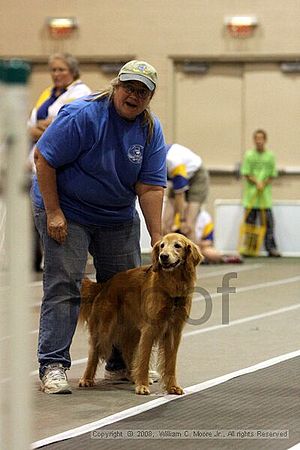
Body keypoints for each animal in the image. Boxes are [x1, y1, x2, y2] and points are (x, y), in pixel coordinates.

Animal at [78, 232, 203, 394]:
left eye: (177, 246)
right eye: (162, 245)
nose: (163, 256)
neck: (172, 286)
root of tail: (104, 285)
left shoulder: (174, 331)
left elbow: (170, 363)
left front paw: (172, 386)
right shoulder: (149, 329)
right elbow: (144, 359)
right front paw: (142, 385)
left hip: (132, 332)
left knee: (128, 354)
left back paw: (132, 376)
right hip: (104, 329)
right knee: (94, 353)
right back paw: (86, 379)